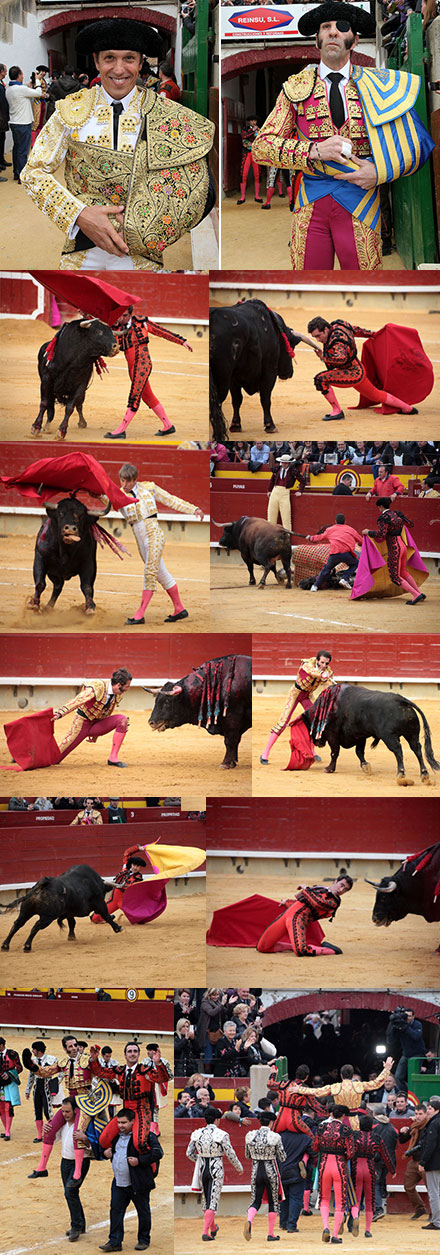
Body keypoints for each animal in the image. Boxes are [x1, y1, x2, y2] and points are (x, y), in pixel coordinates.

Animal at [210, 298, 299, 436]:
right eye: (292, 345)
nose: (289, 372)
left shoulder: (234, 377)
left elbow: (237, 399)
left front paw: (235, 425)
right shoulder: (269, 370)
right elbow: (265, 398)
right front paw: (270, 425)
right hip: (222, 377)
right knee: (217, 402)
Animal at [303, 687, 440, 783]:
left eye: (310, 726)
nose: (317, 742)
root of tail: (401, 700)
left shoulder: (333, 735)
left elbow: (334, 753)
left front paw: (329, 769)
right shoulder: (360, 736)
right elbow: (359, 752)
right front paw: (366, 767)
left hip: (389, 737)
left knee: (398, 750)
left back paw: (401, 773)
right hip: (412, 735)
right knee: (417, 749)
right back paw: (424, 774)